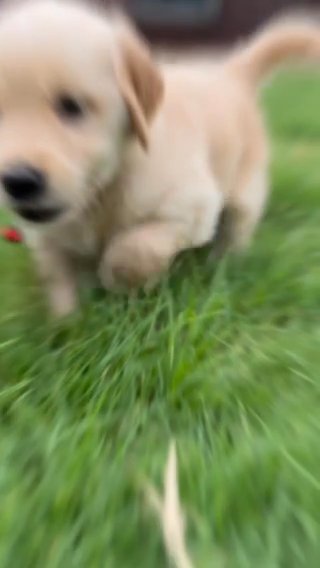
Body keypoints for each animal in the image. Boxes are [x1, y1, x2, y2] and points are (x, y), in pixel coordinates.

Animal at [0, 0, 320, 316]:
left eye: (71, 106)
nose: (18, 180)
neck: (102, 194)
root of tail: (231, 73)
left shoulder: (191, 207)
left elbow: (133, 249)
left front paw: (114, 285)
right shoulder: (48, 237)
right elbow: (58, 277)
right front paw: (69, 322)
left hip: (245, 193)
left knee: (235, 234)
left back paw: (220, 269)